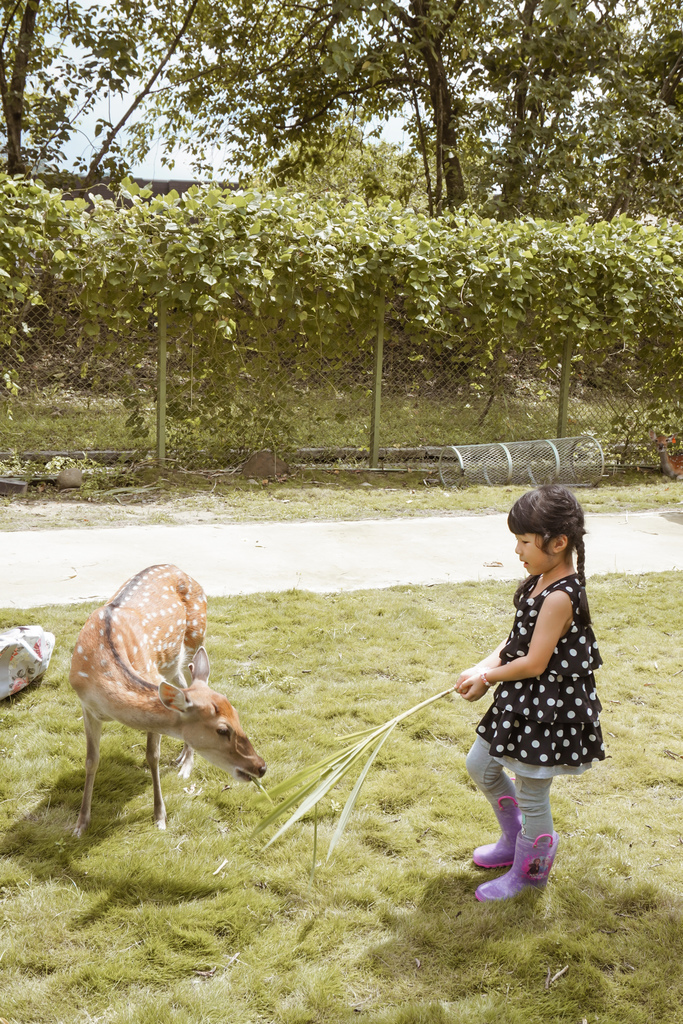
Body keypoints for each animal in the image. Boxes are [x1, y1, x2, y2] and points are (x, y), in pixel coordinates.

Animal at [69, 565, 266, 835]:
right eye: (223, 729)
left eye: (238, 715)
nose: (261, 767)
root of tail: (178, 569)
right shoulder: (86, 706)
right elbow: (91, 760)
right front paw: (80, 824)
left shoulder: (151, 675)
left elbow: (152, 755)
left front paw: (160, 816)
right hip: (172, 663)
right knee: (183, 683)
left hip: (194, 639)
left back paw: (186, 766)